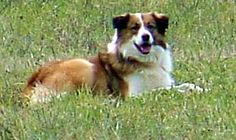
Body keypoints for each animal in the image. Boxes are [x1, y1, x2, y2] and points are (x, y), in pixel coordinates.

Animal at [21, 12, 177, 104]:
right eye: (135, 27)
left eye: (151, 26)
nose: (146, 37)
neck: (143, 61)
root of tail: (34, 78)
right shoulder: (131, 95)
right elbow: (160, 90)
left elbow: (171, 87)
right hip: (85, 65)